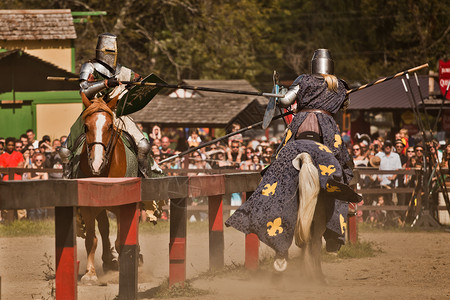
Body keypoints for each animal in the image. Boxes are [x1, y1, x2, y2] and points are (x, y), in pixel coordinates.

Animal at [77, 93, 138, 284]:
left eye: (110, 126)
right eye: (86, 126)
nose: (96, 163)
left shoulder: (122, 207)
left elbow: (121, 241)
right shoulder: (88, 207)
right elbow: (91, 239)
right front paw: (90, 273)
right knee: (104, 229)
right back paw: (107, 261)